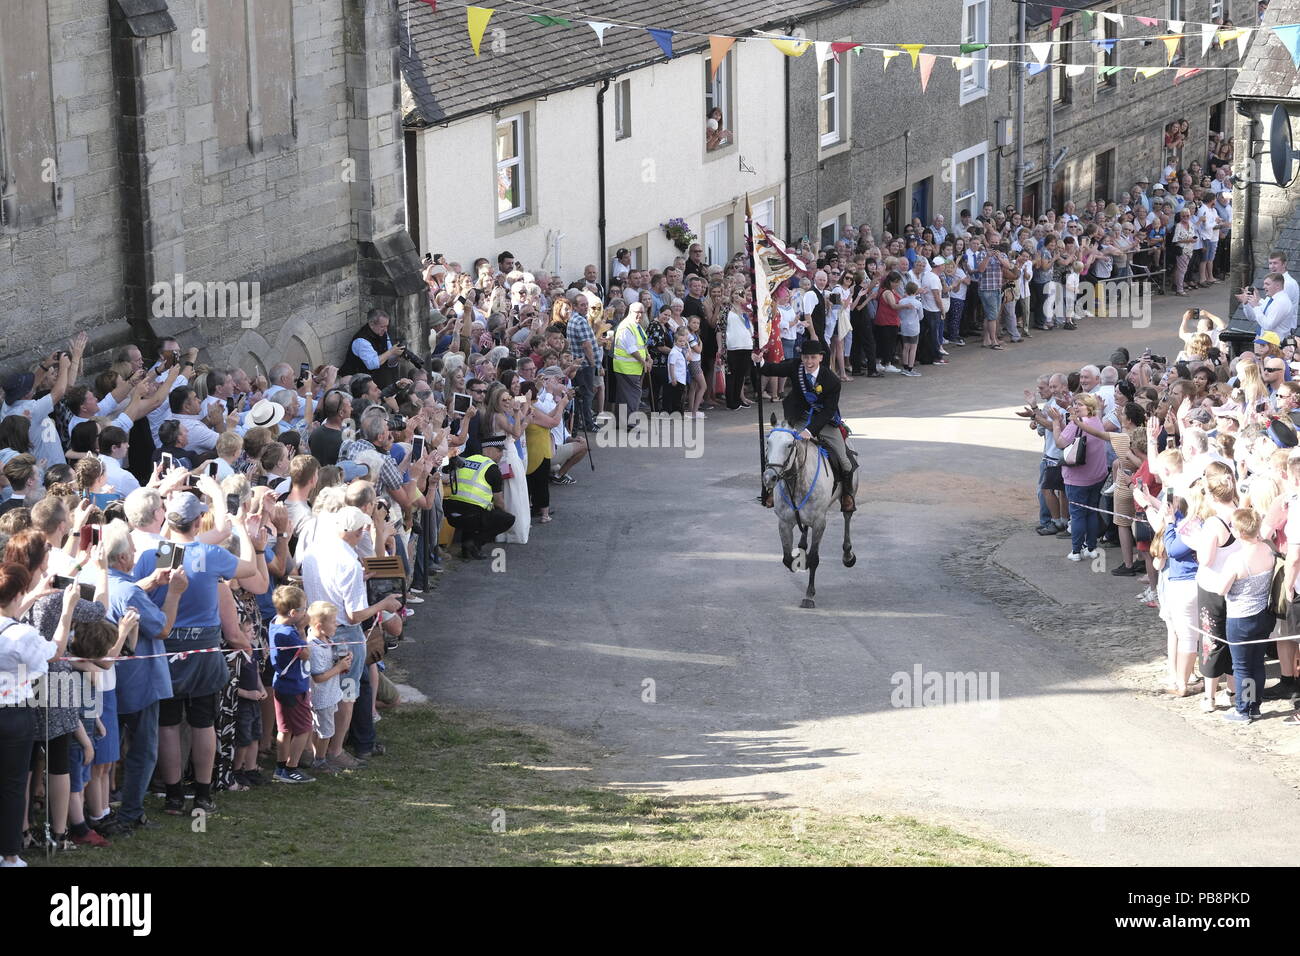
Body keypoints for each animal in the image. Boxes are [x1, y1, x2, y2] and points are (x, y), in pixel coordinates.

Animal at [759, 416, 857, 608]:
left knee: (847, 517)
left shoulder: (819, 523)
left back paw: (848, 555)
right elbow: (787, 558)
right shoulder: (784, 523)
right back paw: (802, 547)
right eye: (768, 442)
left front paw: (809, 595)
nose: (769, 477)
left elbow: (814, 558)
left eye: (789, 445)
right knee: (804, 529)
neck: (796, 482)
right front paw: (798, 560)